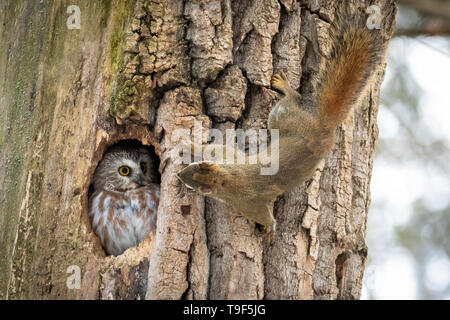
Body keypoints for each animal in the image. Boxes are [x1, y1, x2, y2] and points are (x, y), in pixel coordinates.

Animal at [176, 7, 386, 232]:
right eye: (193, 168)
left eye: (192, 184)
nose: (180, 175)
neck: (225, 179)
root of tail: (323, 126)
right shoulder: (228, 159)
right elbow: (216, 148)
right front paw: (187, 146)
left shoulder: (247, 203)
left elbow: (265, 217)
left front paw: (268, 231)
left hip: (281, 117)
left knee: (291, 100)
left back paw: (285, 87)